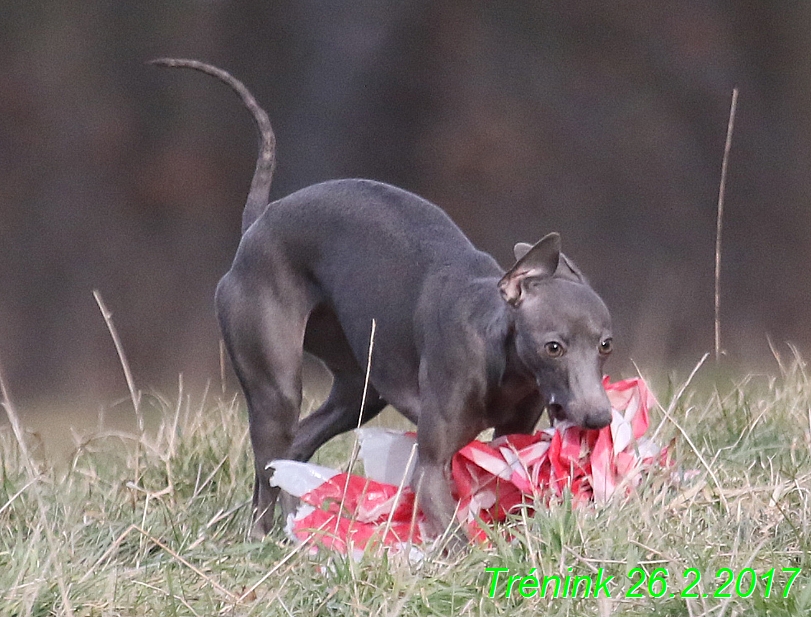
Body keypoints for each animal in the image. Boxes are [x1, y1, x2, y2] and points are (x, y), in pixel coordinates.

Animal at [152, 60, 612, 548]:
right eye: (553, 347)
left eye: (606, 345)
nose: (599, 417)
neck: (500, 355)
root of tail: (257, 223)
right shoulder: (430, 465)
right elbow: (456, 535)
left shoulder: (511, 437)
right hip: (275, 386)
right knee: (268, 465)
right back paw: (265, 536)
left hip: (360, 385)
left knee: (296, 449)